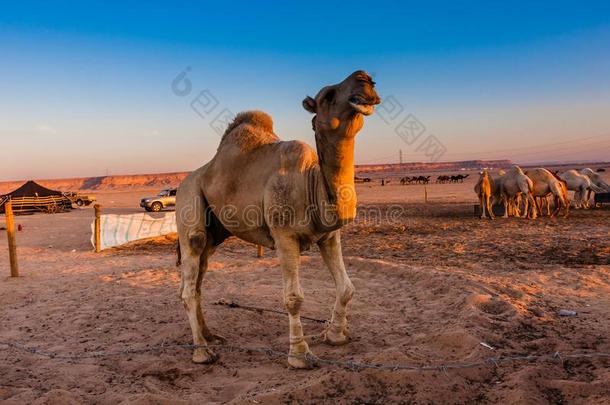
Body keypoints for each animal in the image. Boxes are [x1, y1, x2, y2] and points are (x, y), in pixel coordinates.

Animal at [173, 71, 378, 368]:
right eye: (328, 95)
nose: (365, 79)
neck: (310, 181)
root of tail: (182, 183)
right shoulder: (284, 236)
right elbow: (294, 299)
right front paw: (300, 355)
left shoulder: (329, 235)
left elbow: (346, 288)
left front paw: (336, 335)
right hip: (189, 204)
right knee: (190, 277)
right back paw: (202, 352)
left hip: (215, 232)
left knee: (199, 279)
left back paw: (211, 336)